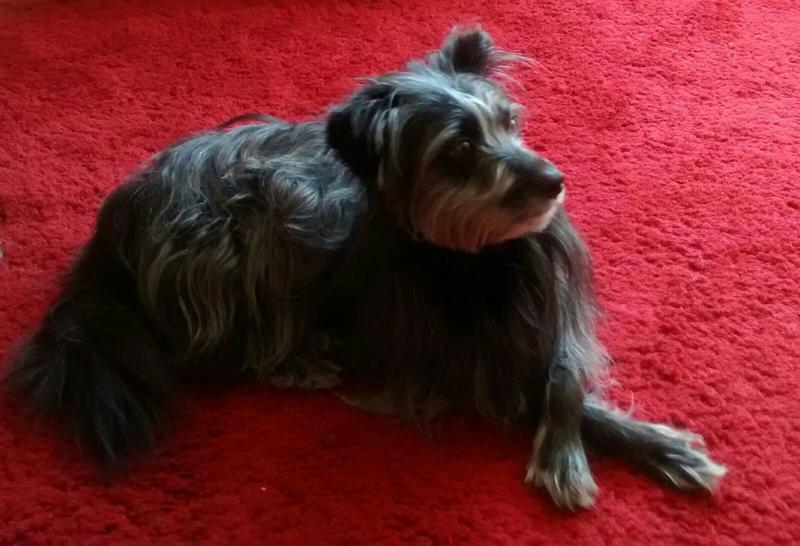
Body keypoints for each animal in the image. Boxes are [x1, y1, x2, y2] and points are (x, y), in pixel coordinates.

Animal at [6, 27, 725, 509]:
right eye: (459, 150)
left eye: (512, 123)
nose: (554, 181)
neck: (479, 259)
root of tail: (110, 231)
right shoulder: (442, 364)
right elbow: (524, 388)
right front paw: (568, 455)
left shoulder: (553, 318)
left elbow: (565, 376)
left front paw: (656, 446)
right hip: (253, 223)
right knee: (215, 351)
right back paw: (297, 361)